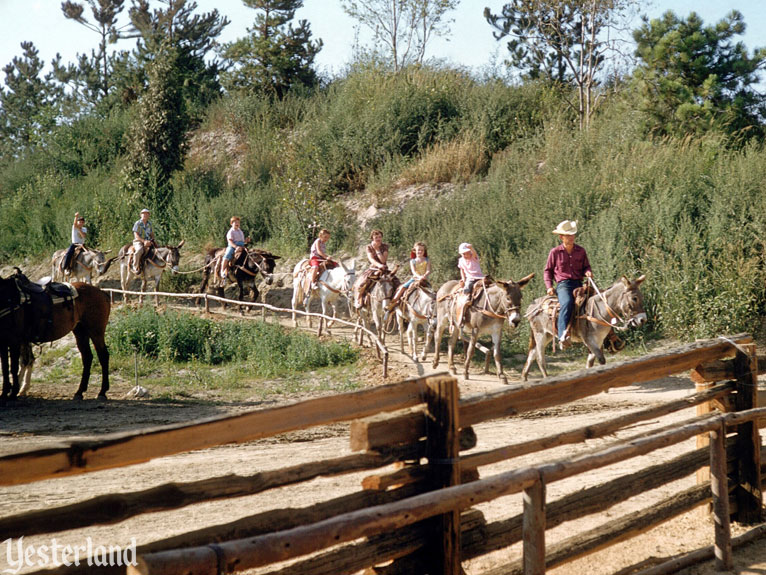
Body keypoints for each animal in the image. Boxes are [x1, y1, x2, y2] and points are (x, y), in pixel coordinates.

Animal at [0, 268, 111, 400]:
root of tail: (102, 293)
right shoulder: (3, 342)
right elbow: (5, 368)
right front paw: (5, 392)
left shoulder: (14, 341)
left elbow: (13, 367)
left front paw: (12, 393)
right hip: (80, 331)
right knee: (87, 357)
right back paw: (79, 392)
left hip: (96, 331)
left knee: (103, 356)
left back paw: (102, 392)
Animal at [520, 276, 648, 382]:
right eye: (634, 298)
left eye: (642, 297)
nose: (643, 320)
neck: (599, 310)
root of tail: (531, 306)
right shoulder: (589, 341)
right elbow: (601, 360)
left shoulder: (598, 341)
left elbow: (590, 363)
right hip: (540, 335)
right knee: (539, 358)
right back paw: (546, 378)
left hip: (548, 335)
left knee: (532, 353)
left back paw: (524, 378)